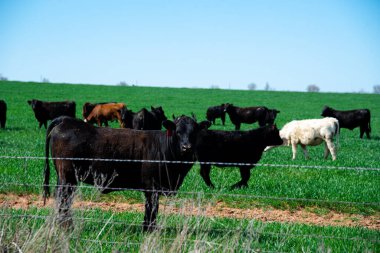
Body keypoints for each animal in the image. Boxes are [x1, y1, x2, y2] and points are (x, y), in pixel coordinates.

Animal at [45, 115, 211, 230]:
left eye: (194, 132)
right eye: (177, 132)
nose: (186, 147)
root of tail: (66, 120)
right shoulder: (152, 187)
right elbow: (152, 209)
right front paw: (149, 230)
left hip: (64, 177)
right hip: (67, 176)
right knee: (63, 198)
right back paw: (66, 227)